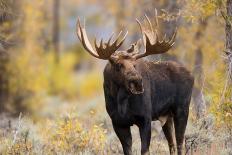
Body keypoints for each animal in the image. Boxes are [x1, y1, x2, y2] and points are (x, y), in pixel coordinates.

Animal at [76, 14, 194, 154]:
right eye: (118, 65)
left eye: (134, 65)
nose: (137, 82)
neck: (121, 103)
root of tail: (192, 75)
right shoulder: (118, 123)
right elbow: (127, 150)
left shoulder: (145, 119)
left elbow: (145, 150)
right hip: (167, 116)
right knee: (172, 144)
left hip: (182, 109)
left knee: (180, 142)